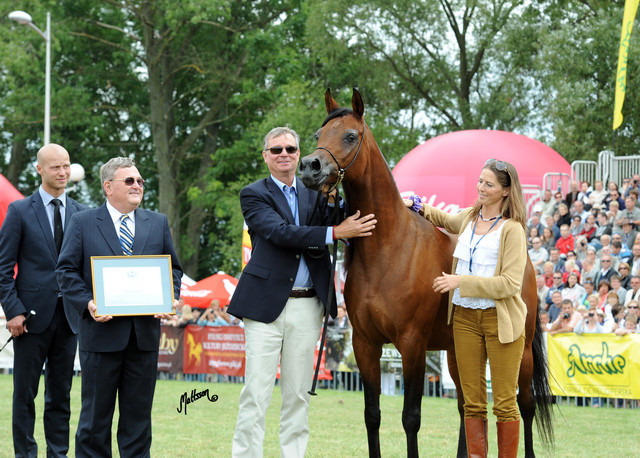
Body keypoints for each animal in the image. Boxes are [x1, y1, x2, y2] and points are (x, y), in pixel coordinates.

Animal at [299, 88, 553, 457]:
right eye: (319, 134)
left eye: (350, 136)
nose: (310, 167)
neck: (389, 249)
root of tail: (529, 265)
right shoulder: (365, 344)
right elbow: (372, 415)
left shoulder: (412, 344)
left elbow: (411, 417)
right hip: (458, 350)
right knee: (467, 406)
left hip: (519, 353)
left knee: (525, 405)